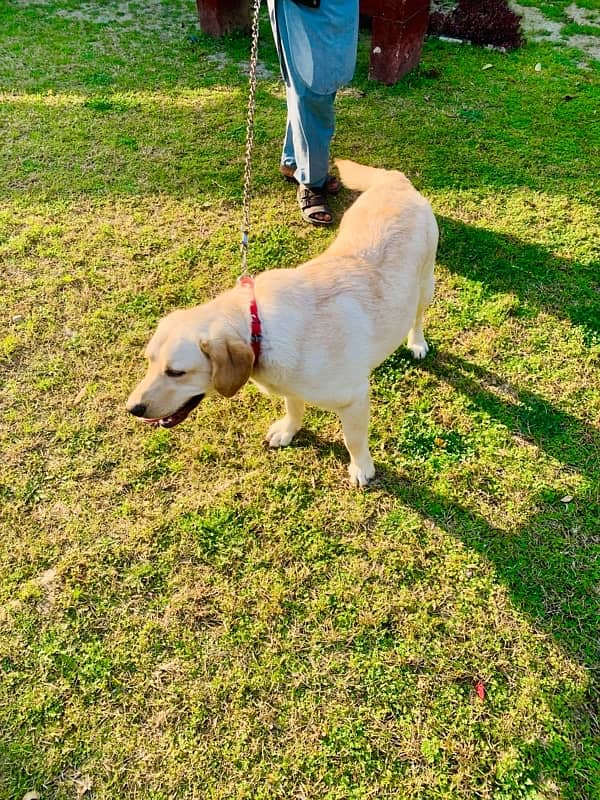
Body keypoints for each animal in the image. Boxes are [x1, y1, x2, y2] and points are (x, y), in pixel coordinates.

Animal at [126, 159, 436, 484]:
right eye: (149, 361)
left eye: (176, 372)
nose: (132, 408)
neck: (260, 328)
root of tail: (394, 180)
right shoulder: (289, 384)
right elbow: (293, 406)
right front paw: (288, 431)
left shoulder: (354, 398)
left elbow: (353, 439)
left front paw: (361, 468)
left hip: (425, 285)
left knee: (417, 317)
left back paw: (416, 343)